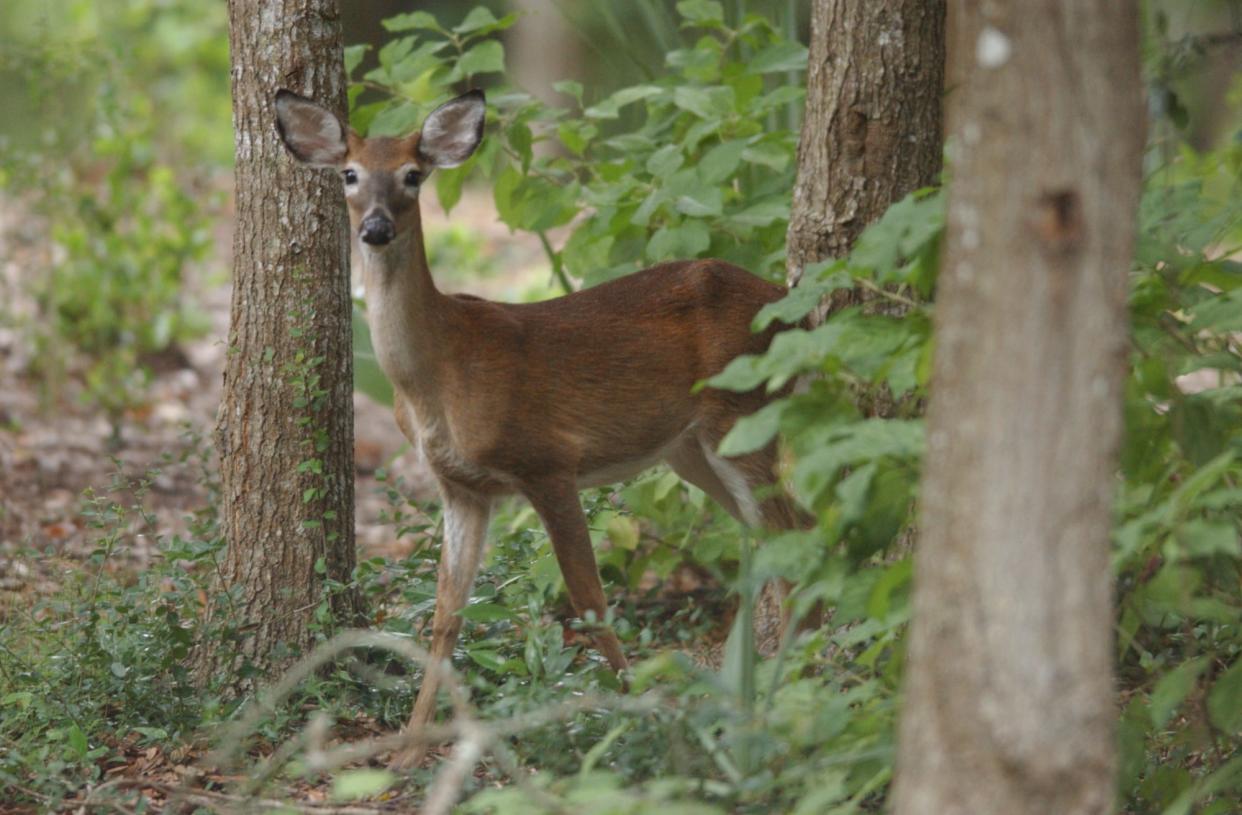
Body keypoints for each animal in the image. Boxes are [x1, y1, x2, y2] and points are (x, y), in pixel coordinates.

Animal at [274, 87, 804, 765]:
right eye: (349, 173)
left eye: (414, 175)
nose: (376, 227)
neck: (436, 374)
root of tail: (791, 307)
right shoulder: (461, 487)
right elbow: (446, 615)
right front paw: (409, 752)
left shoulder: (548, 460)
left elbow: (590, 601)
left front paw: (645, 724)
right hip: (690, 449)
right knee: (780, 540)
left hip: (743, 415)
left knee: (795, 536)